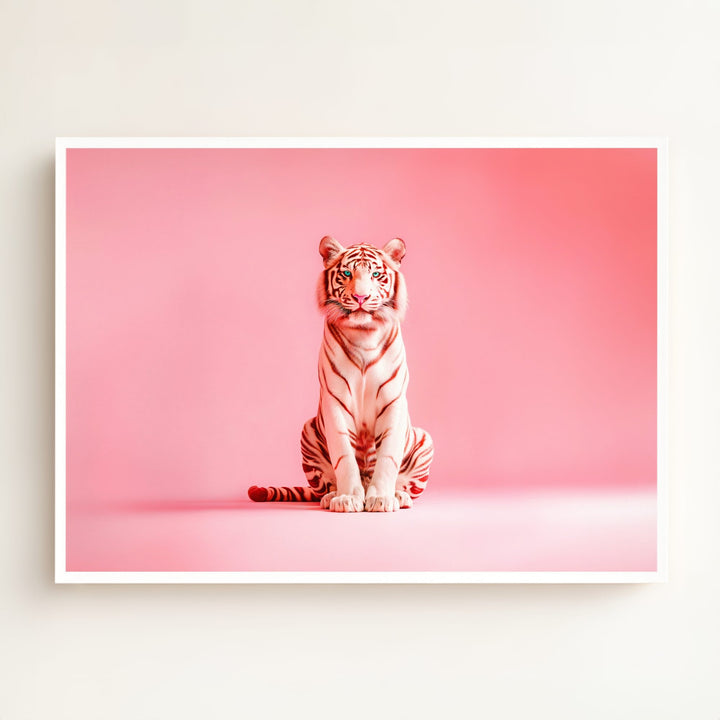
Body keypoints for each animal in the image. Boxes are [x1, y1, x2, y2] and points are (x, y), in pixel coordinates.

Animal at [248, 236, 433, 512]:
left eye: (376, 274)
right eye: (347, 274)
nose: (360, 296)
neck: (364, 333)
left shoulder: (393, 401)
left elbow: (388, 456)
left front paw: (382, 498)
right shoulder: (335, 400)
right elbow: (343, 456)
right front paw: (347, 498)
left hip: (424, 438)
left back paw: (399, 496)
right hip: (308, 431)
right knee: (324, 487)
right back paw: (331, 496)